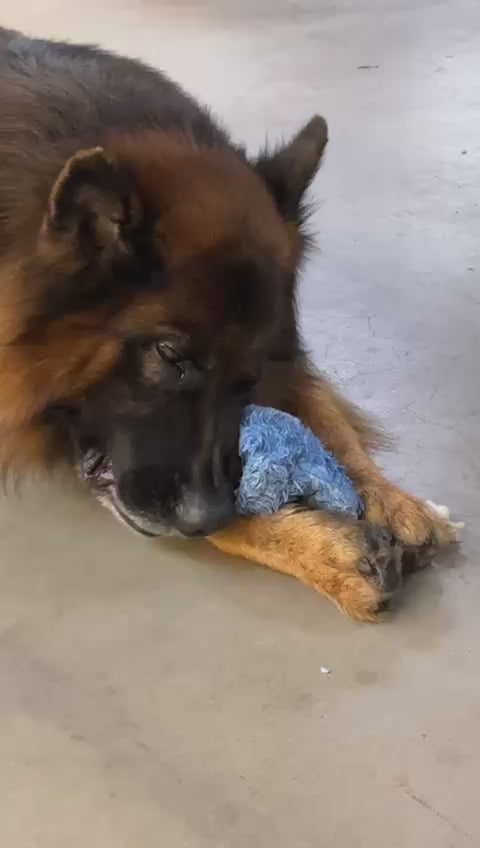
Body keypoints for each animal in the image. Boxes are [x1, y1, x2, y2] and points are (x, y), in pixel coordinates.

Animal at [0, 27, 458, 620]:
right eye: (169, 355)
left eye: (250, 375)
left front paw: (393, 499)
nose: (209, 514)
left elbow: (326, 415)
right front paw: (322, 550)